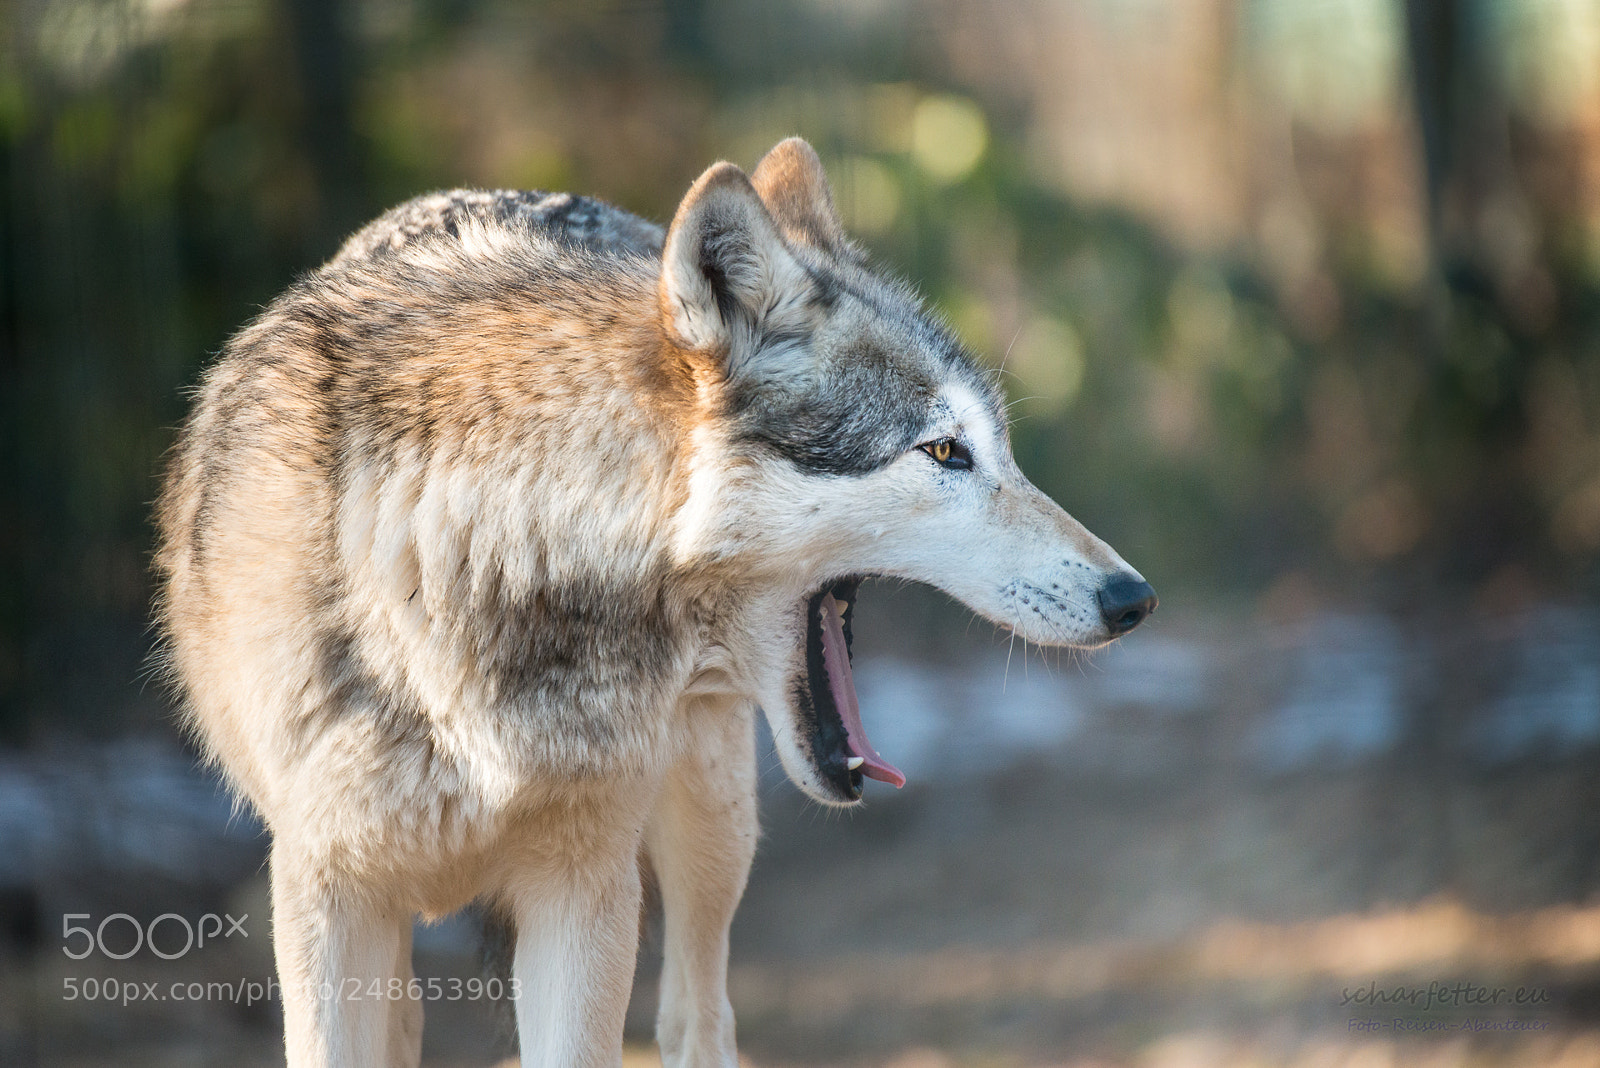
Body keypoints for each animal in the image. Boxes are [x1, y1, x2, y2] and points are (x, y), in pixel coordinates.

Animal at [153, 137, 1155, 1067]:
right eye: (945, 451)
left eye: (998, 449)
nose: (1135, 598)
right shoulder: (326, 896)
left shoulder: (583, 889)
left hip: (709, 823)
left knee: (699, 1017)